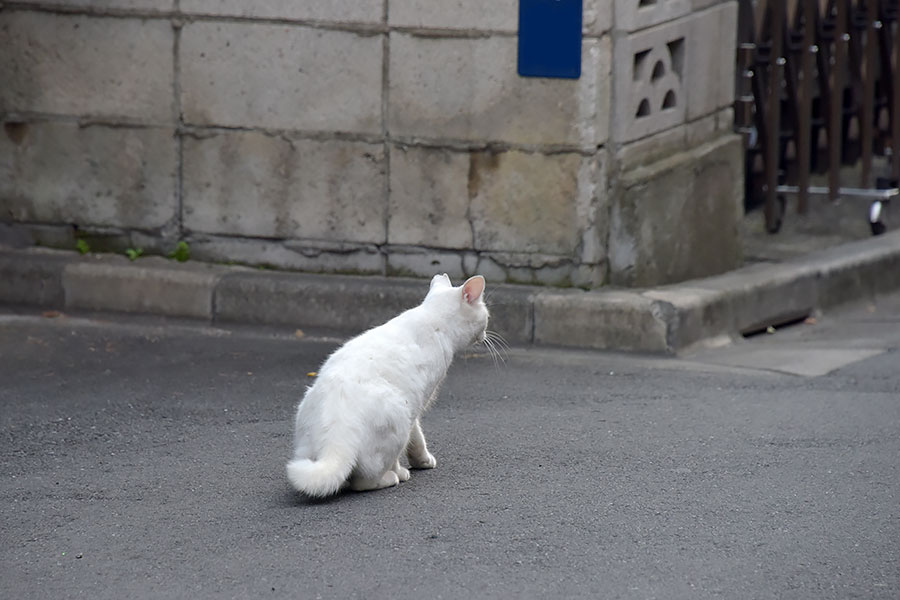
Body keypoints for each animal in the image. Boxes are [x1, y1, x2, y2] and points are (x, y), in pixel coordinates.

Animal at [286, 274, 492, 496]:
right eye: (486, 316)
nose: (485, 335)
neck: (434, 316)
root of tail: (336, 429)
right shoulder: (417, 403)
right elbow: (414, 439)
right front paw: (412, 466)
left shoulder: (414, 409)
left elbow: (416, 435)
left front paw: (421, 461)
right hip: (398, 418)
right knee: (364, 481)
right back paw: (392, 477)